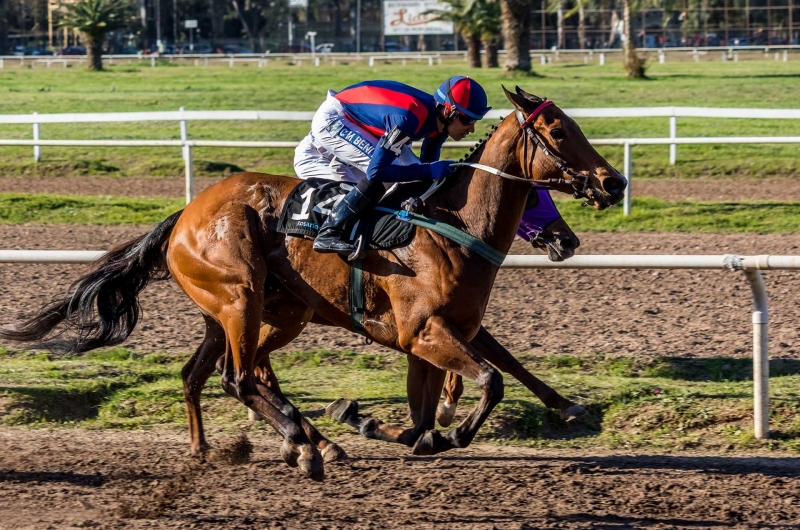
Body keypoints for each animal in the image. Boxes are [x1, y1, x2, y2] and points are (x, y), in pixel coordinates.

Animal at [0, 85, 624, 478]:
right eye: (557, 131)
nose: (612, 183)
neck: (452, 225)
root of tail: (182, 217)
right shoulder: (422, 333)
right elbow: (488, 383)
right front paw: (426, 429)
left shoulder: (444, 333)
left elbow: (464, 392)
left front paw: (564, 406)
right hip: (240, 296)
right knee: (238, 377)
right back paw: (305, 447)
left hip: (267, 312)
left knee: (217, 372)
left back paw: (252, 444)